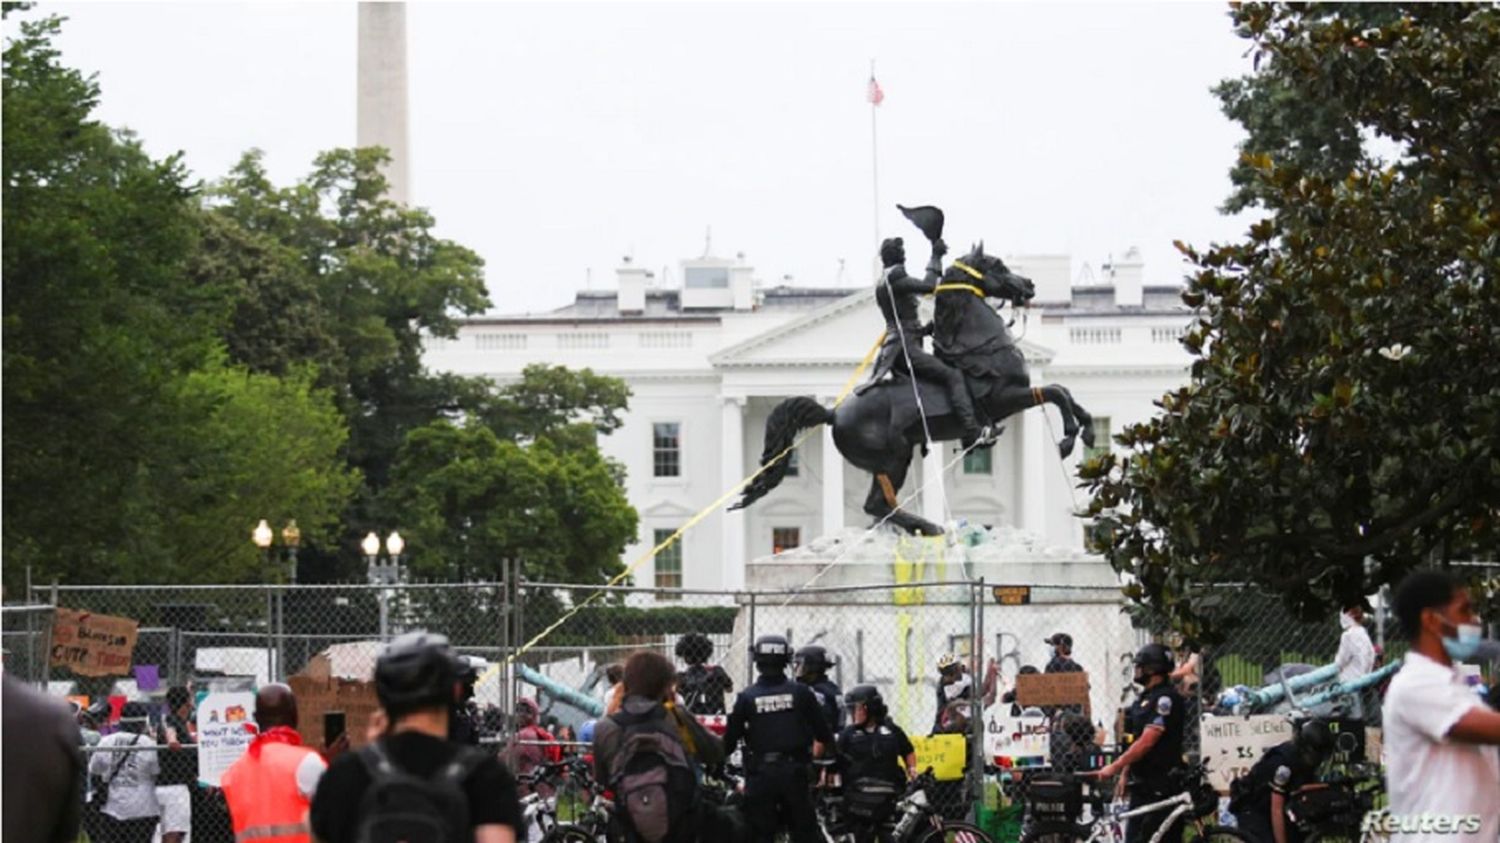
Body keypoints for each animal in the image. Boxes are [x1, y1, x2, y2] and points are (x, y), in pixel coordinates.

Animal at [726, 243, 1092, 531]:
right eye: (997, 265)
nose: (1029, 285)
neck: (981, 347)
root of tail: (833, 413)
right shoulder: (1004, 399)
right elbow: (1056, 392)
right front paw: (1068, 438)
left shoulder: (1015, 400)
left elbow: (1062, 391)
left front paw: (1085, 430)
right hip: (894, 455)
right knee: (877, 504)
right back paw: (928, 526)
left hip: (888, 460)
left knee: (879, 504)